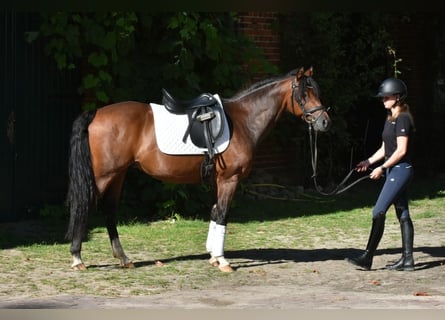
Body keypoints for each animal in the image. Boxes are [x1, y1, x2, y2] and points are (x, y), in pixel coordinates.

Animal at [65, 67, 330, 272]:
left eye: (317, 91)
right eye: (304, 93)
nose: (324, 121)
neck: (243, 121)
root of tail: (96, 113)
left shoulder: (217, 181)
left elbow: (214, 212)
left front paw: (213, 255)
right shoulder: (229, 179)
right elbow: (222, 214)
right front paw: (222, 260)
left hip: (118, 175)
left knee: (109, 212)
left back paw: (124, 258)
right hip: (104, 176)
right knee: (85, 207)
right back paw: (78, 258)